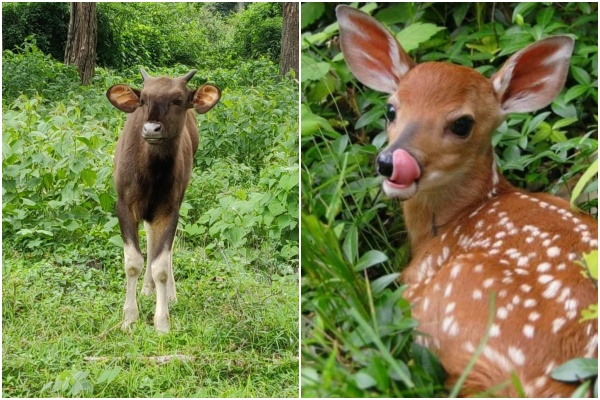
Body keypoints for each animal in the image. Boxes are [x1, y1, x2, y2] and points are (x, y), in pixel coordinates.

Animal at [106, 69, 221, 334]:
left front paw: (162, 322)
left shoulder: (169, 208)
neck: (152, 172)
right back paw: (147, 289)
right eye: (143, 99)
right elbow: (133, 262)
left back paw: (168, 293)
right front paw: (129, 318)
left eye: (178, 100)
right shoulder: (124, 205)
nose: (151, 129)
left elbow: (161, 265)